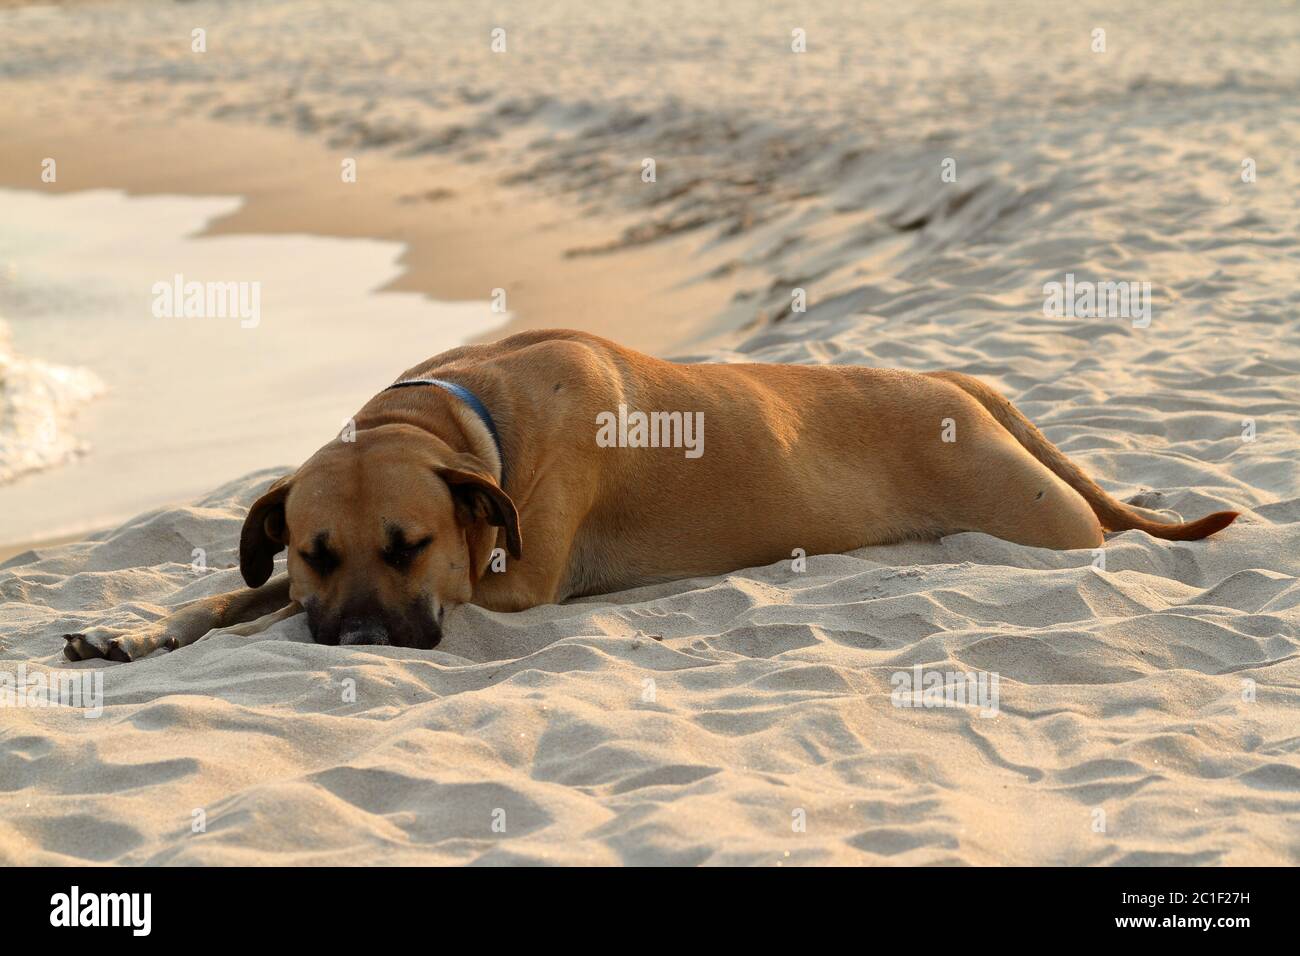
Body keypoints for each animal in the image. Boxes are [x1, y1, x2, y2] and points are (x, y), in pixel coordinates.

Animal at [63, 325, 1237, 660]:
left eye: (410, 545)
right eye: (314, 551)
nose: (352, 643)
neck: (461, 415)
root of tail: (963, 381)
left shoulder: (507, 583)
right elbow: (234, 595)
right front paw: (137, 629)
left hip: (1046, 521)